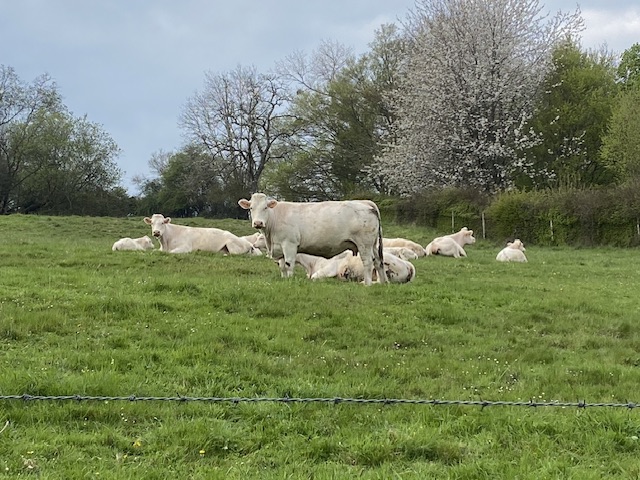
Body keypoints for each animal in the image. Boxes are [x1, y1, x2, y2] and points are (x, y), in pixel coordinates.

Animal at [238, 193, 388, 284]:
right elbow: (282, 267)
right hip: (373, 245)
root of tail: (365, 203)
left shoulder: (289, 244)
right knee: (379, 262)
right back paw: (383, 282)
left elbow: (289, 264)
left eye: (265, 208)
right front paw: (284, 279)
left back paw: (367, 284)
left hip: (364, 244)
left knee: (368, 262)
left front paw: (290, 280)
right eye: (251, 208)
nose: (258, 223)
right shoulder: (279, 247)